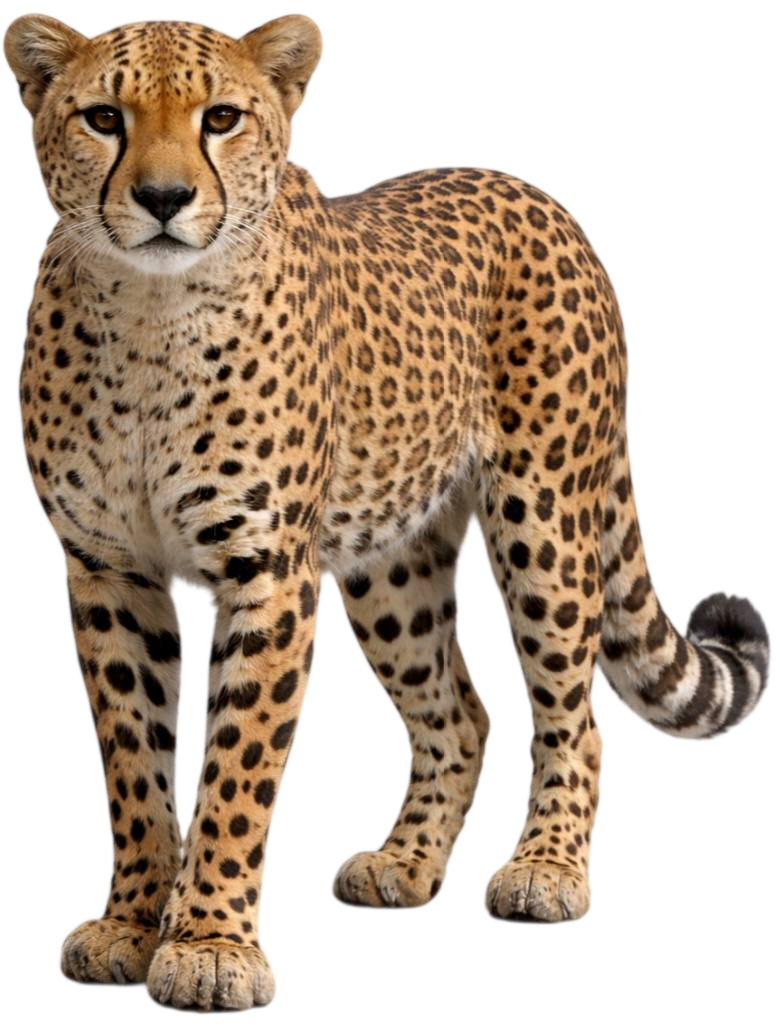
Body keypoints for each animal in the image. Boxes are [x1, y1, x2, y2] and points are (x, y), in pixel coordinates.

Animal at [4, 10, 772, 1013]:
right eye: (102, 117)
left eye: (221, 118)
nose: (165, 197)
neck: (150, 316)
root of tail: (534, 191)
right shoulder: (109, 572)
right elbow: (135, 760)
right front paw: (132, 923)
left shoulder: (267, 574)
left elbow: (237, 768)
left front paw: (209, 943)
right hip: (390, 564)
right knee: (461, 714)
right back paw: (405, 860)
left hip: (543, 515)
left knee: (575, 716)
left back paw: (548, 866)